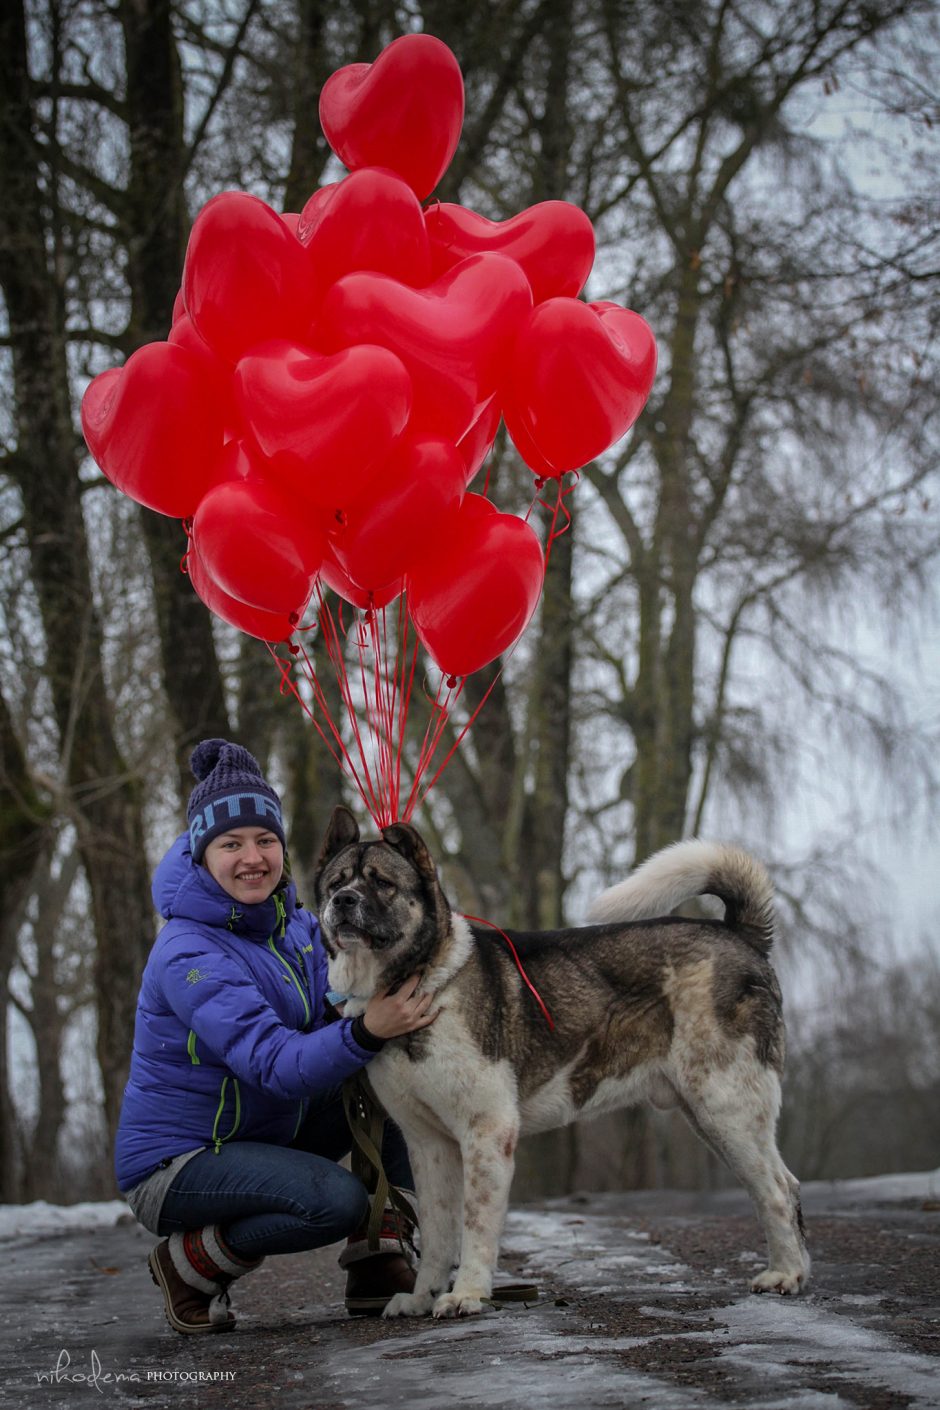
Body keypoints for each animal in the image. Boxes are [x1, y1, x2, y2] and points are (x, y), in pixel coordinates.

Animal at [314, 812, 811, 1314]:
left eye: (382, 883)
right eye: (336, 882)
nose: (343, 900)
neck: (424, 981)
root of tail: (739, 935)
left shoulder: (486, 1131)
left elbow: (474, 1224)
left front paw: (468, 1293)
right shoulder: (429, 1145)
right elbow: (437, 1233)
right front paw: (422, 1297)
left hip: (725, 1108)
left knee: (776, 1191)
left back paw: (784, 1274)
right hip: (713, 1117)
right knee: (787, 1185)